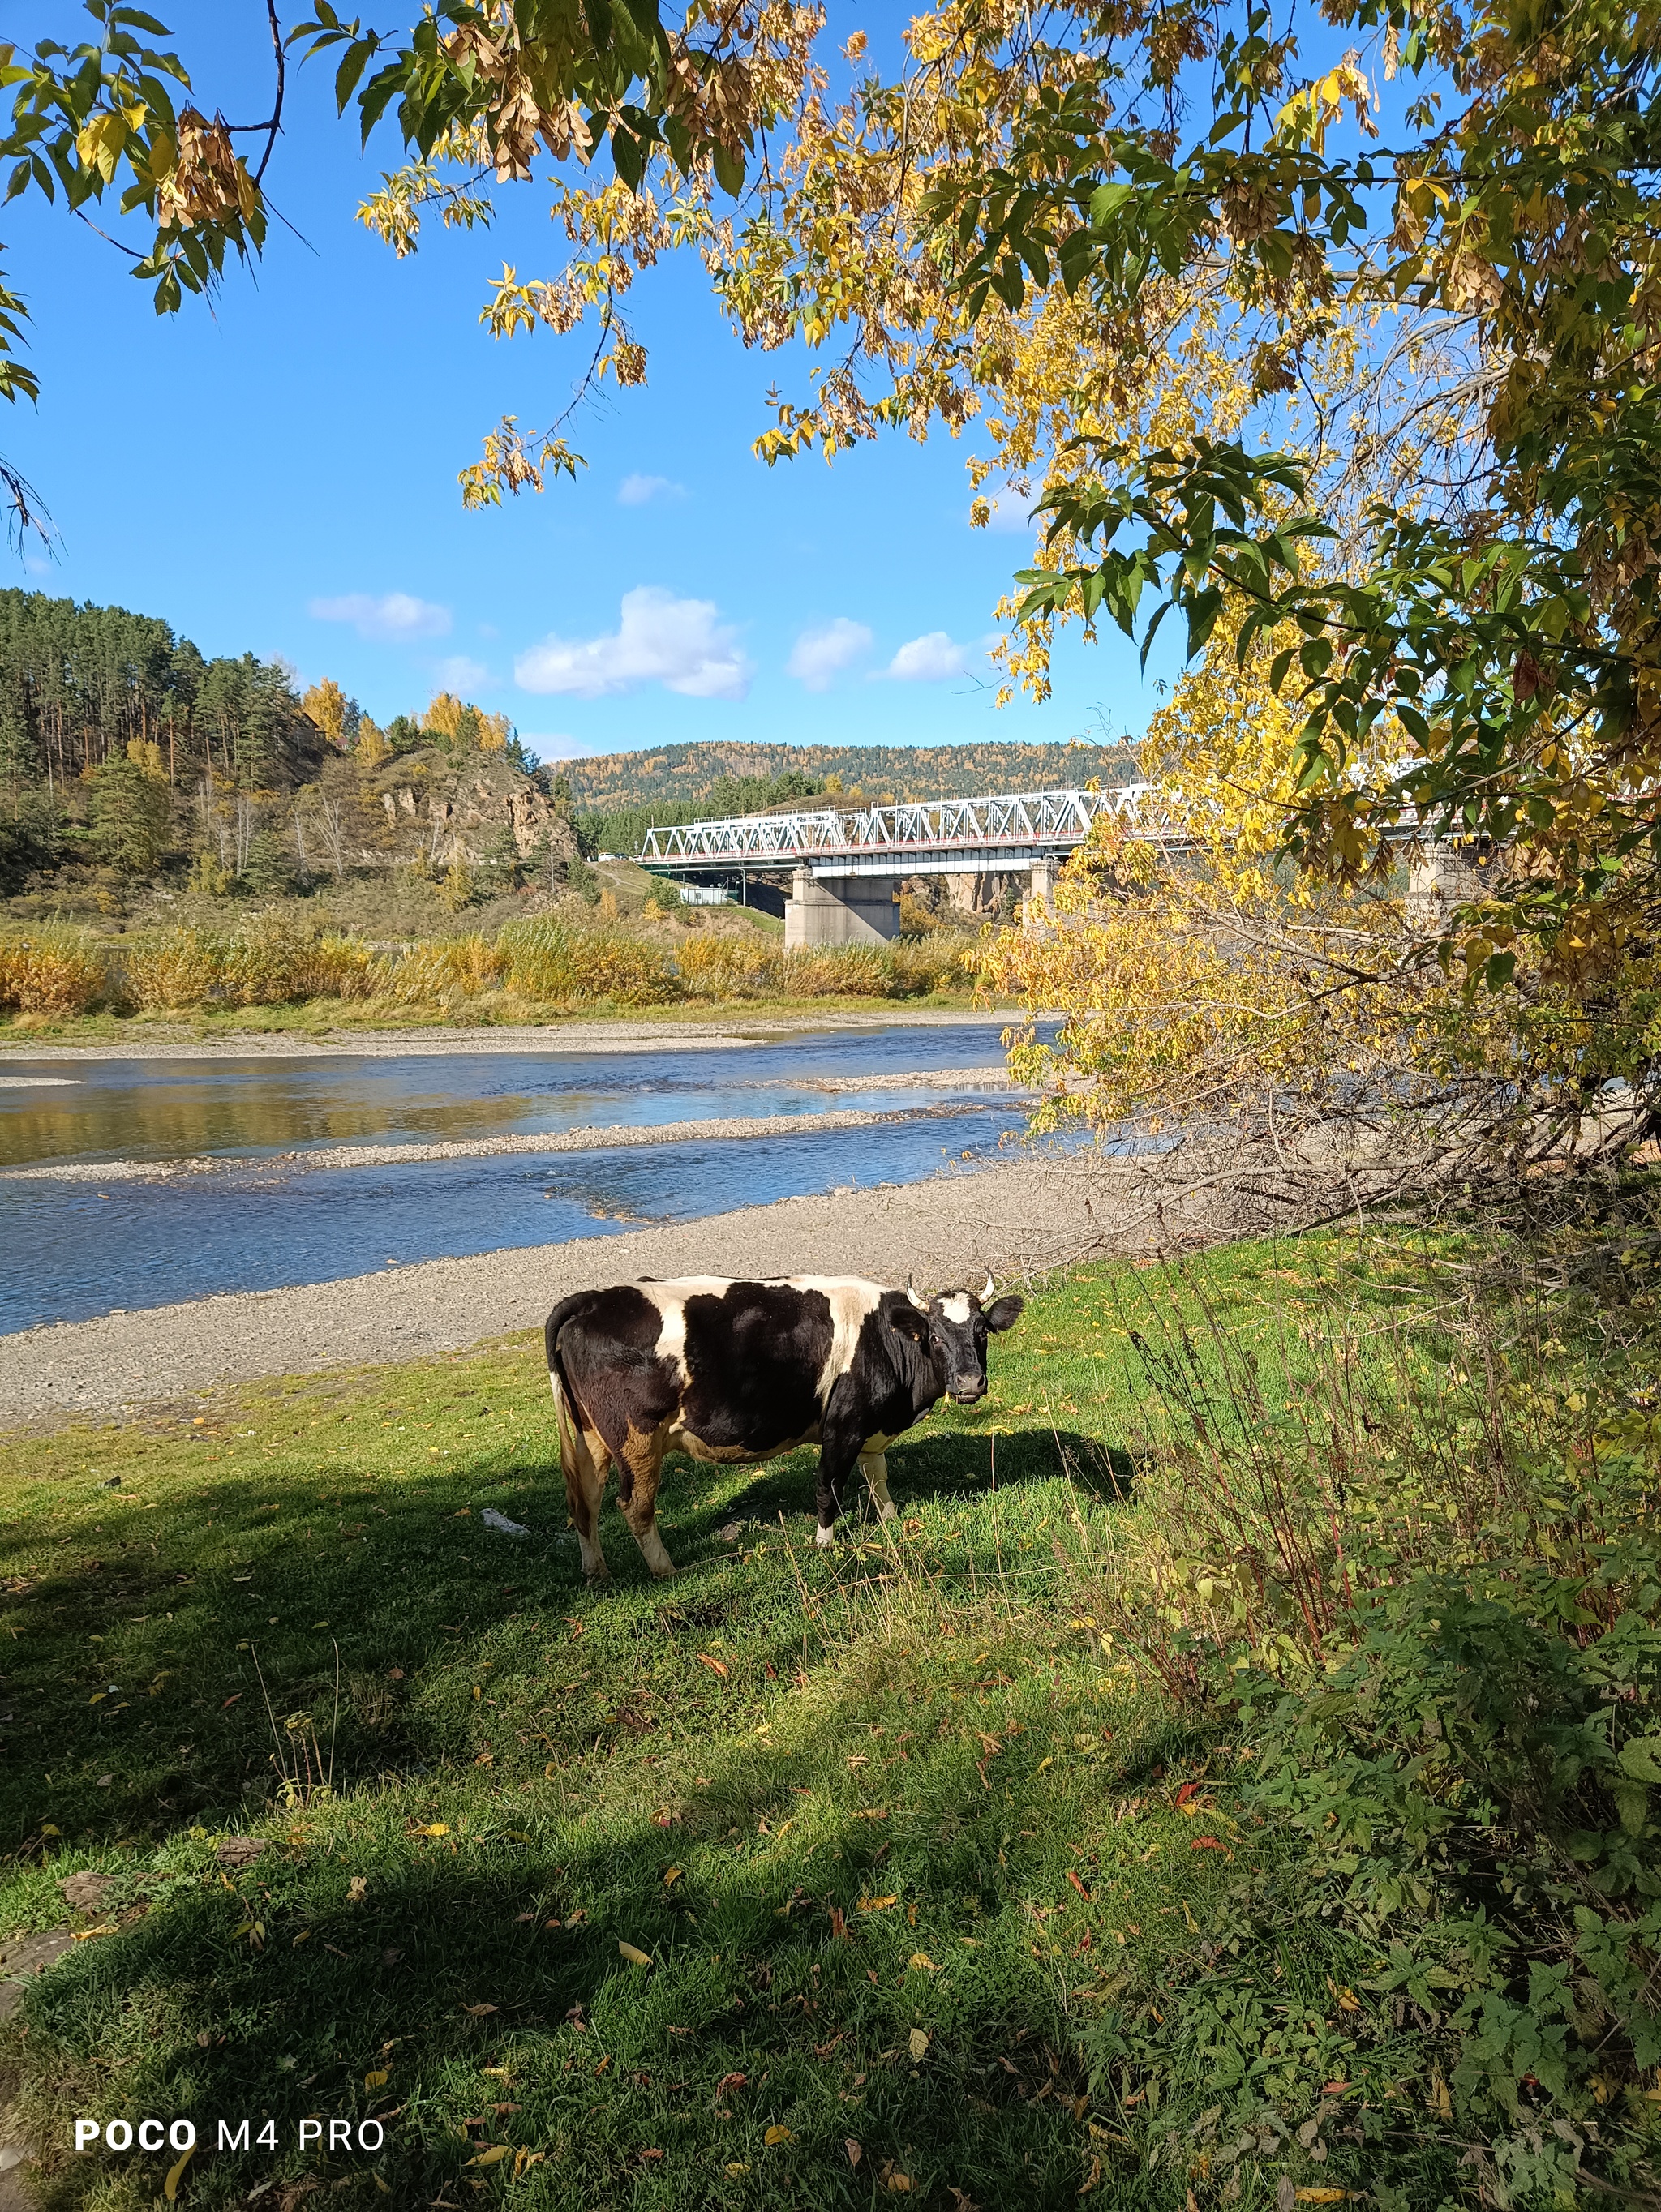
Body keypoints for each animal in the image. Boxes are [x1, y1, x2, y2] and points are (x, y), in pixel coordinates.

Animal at [546, 1283, 1021, 1575]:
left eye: (982, 1332)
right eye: (935, 1336)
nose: (969, 1383)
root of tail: (590, 1300)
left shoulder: (870, 1429)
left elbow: (878, 1477)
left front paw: (890, 1520)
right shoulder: (842, 1427)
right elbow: (828, 1488)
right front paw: (825, 1546)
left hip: (591, 1436)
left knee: (585, 1500)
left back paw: (597, 1571)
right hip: (636, 1436)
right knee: (634, 1505)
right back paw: (667, 1570)